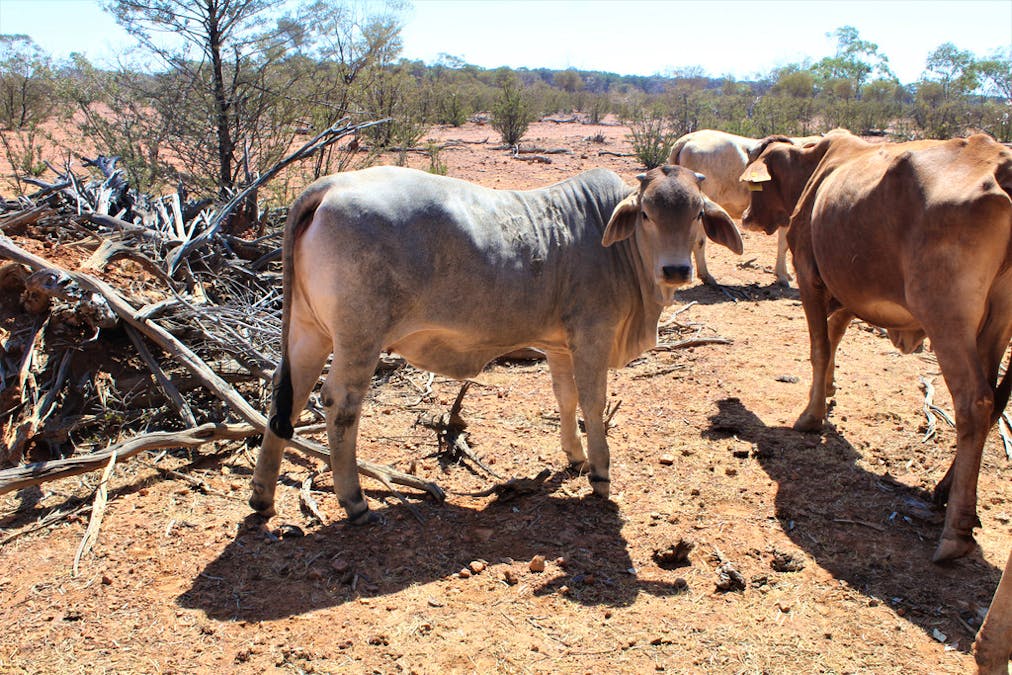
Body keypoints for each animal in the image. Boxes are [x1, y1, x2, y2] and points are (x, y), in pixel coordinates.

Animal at [736, 130, 1011, 558]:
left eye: (754, 184)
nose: (747, 216)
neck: (813, 170)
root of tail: (1001, 165)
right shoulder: (850, 291)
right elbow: (834, 335)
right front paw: (829, 390)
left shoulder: (810, 277)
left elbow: (819, 347)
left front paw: (811, 415)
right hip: (999, 319)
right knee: (996, 402)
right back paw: (944, 490)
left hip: (946, 317)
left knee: (975, 403)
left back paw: (956, 531)